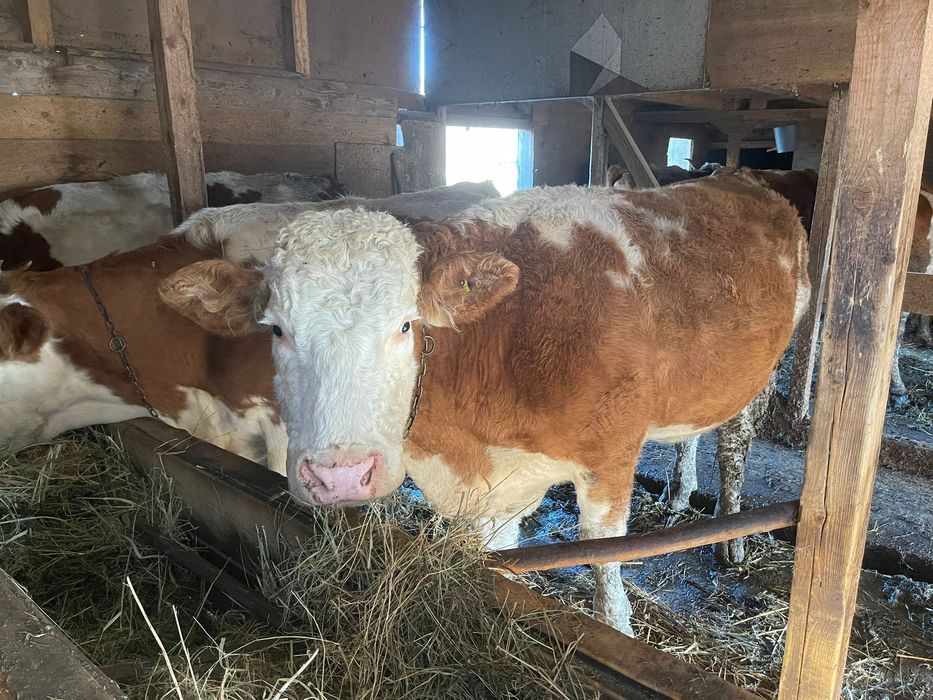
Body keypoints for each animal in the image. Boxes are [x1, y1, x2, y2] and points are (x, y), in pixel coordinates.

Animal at [158, 171, 811, 634]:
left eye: (406, 325)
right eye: (276, 330)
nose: (340, 476)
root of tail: (740, 178)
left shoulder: (610, 457)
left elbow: (607, 574)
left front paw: (618, 626)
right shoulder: (494, 488)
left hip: (768, 364)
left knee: (735, 444)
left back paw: (731, 540)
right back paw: (678, 496)